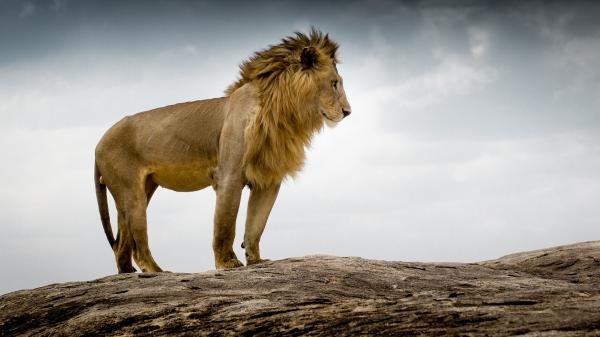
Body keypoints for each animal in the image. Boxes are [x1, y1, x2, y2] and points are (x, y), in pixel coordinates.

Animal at [94, 27, 352, 272]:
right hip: (131, 191)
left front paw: (256, 261)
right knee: (137, 243)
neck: (283, 113)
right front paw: (227, 263)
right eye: (334, 83)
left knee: (121, 245)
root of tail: (98, 144)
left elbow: (256, 225)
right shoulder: (229, 174)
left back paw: (129, 273)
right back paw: (158, 271)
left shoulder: (268, 179)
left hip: (142, 189)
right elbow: (226, 222)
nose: (348, 112)